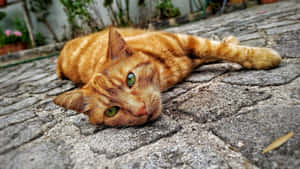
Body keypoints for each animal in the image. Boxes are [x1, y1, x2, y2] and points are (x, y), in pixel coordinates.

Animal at [53, 26, 282, 127]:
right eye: (111, 111)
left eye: (130, 79)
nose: (141, 110)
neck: (166, 73)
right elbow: (213, 52)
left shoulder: (187, 41)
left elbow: (220, 49)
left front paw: (262, 57)